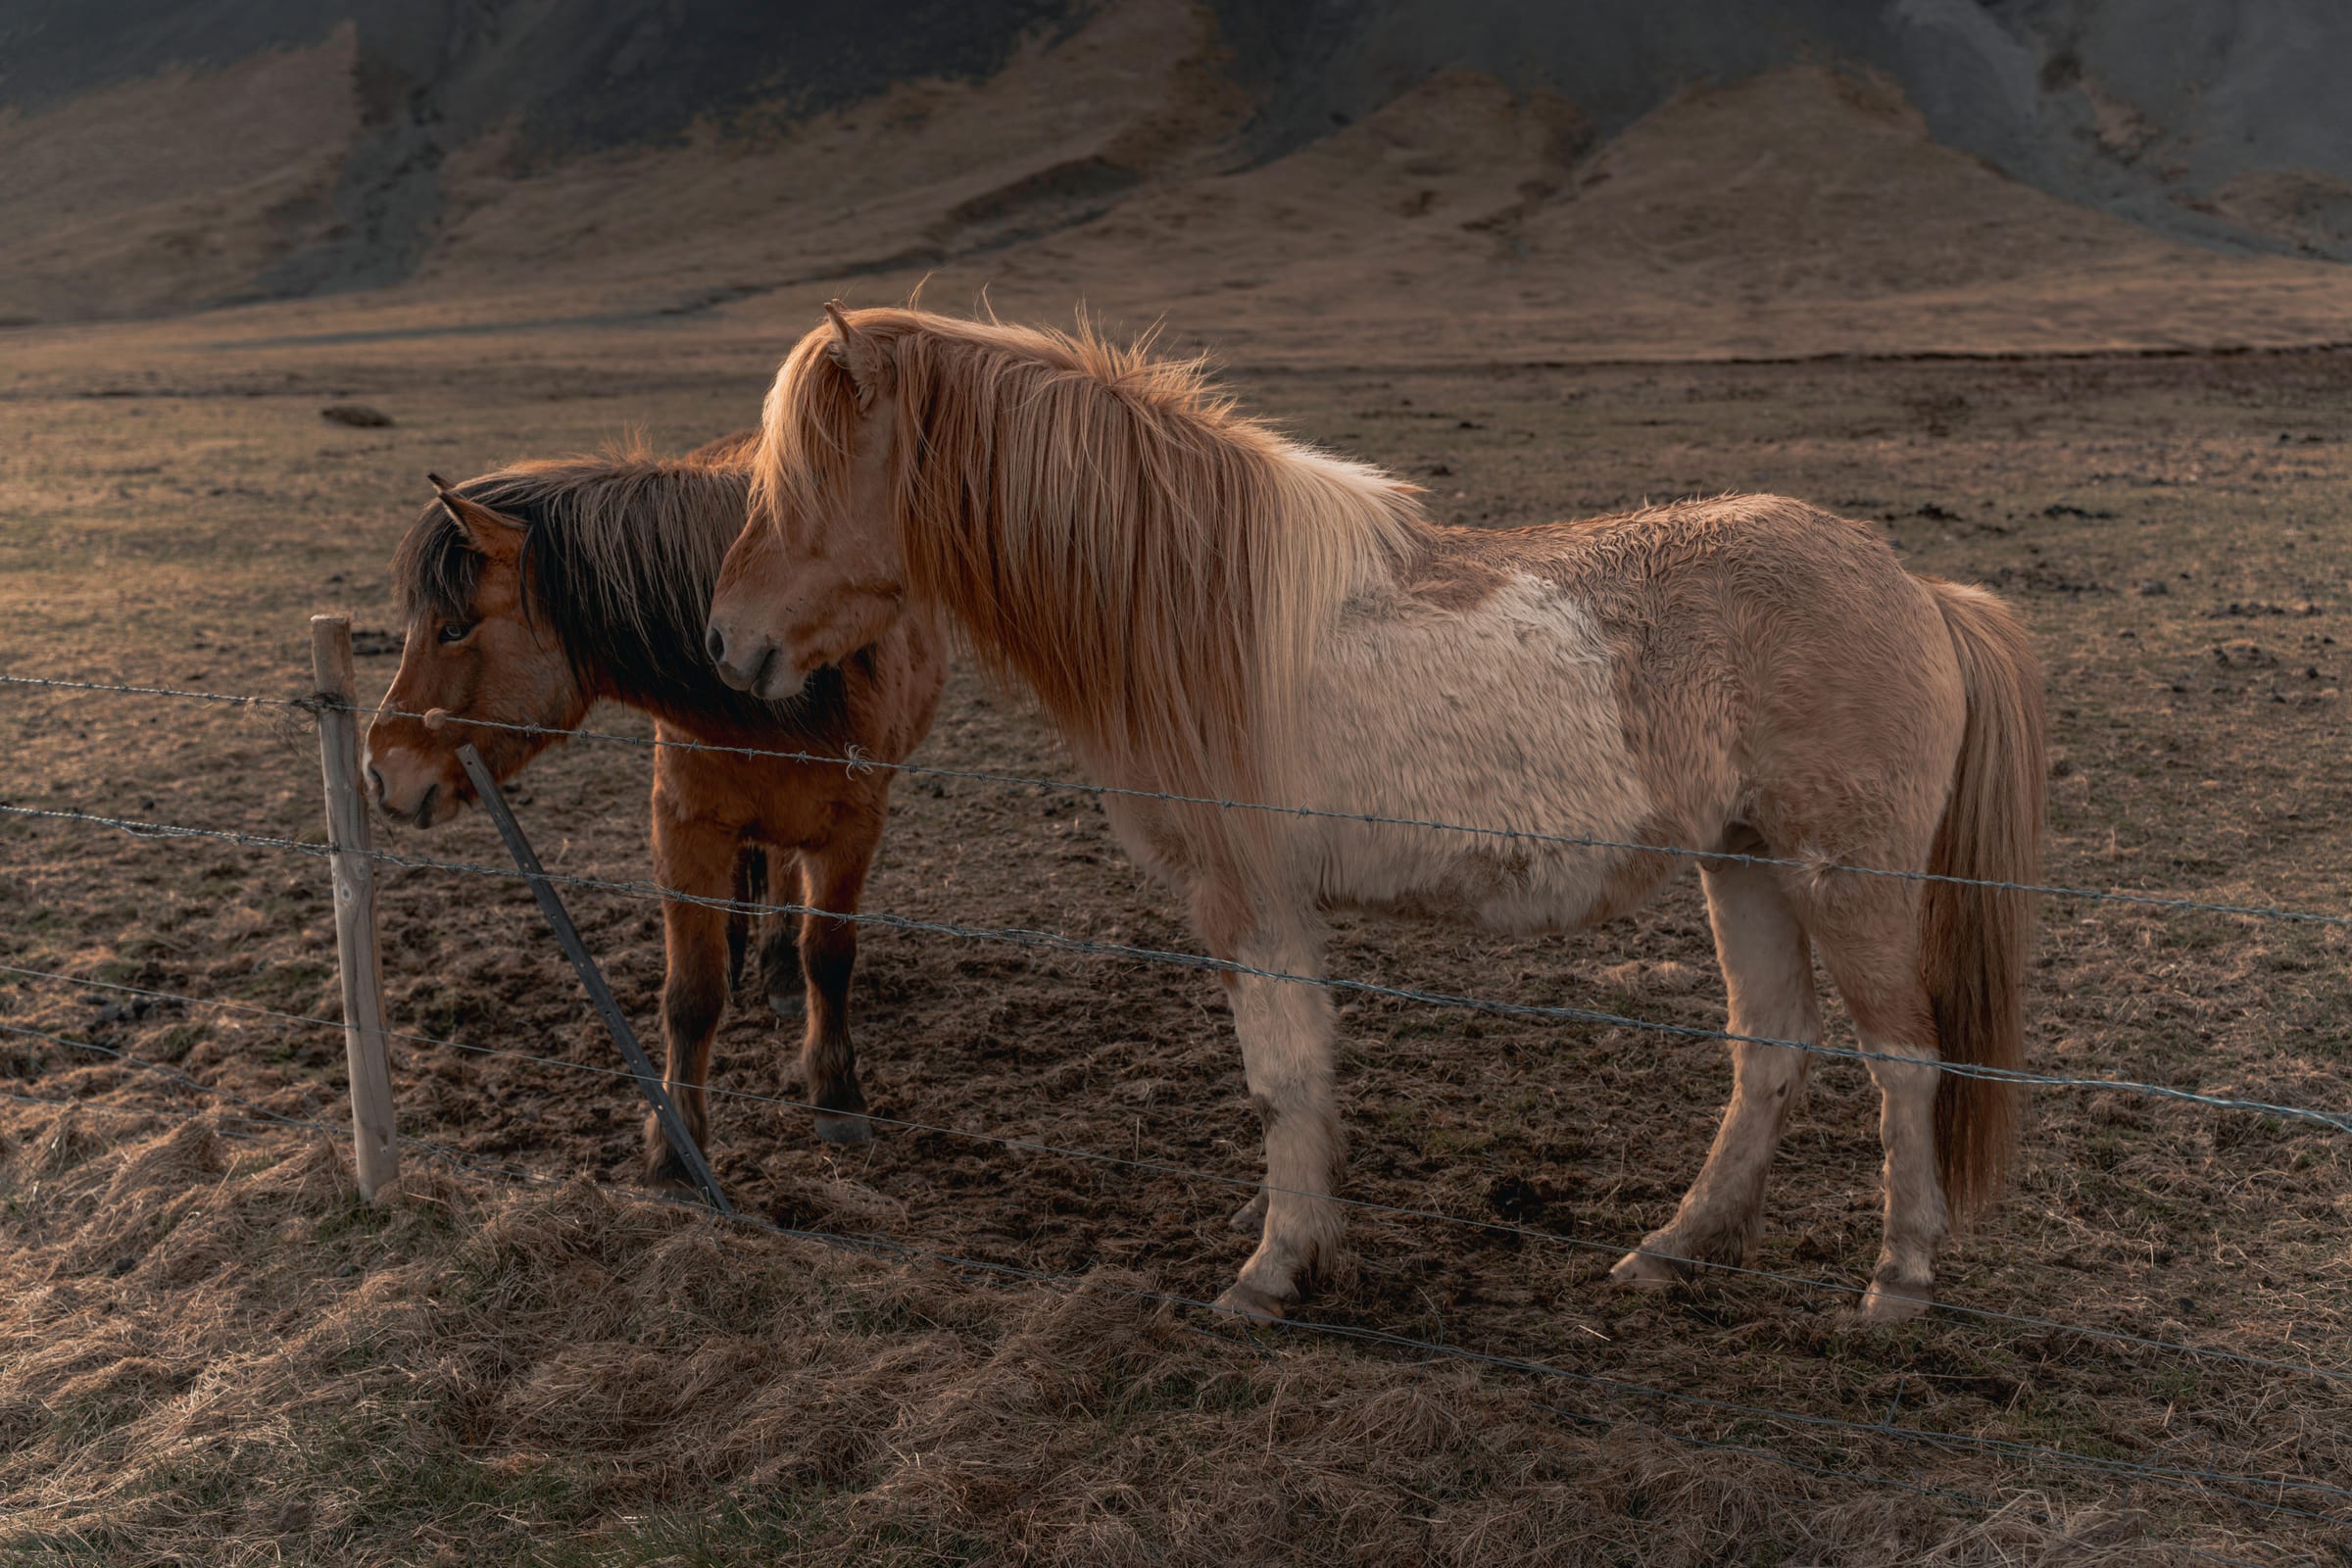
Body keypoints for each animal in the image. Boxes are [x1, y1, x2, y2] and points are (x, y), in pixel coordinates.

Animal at [365, 432, 945, 1181]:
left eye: (454, 629)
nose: (378, 772)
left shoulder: (853, 834)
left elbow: (830, 957)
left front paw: (838, 1095)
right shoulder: (684, 829)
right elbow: (691, 995)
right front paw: (677, 1154)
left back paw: (781, 973)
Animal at [703, 305, 2045, 1323]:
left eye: (805, 478)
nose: (725, 642)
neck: (1199, 605)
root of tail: (1916, 588)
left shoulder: (1248, 898)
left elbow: (1281, 1078)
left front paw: (1267, 1274)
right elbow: (1300, 1079)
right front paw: (1308, 1238)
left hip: (1844, 878)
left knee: (1905, 1061)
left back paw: (1896, 1285)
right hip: (1746, 865)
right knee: (1769, 1052)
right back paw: (1672, 1250)